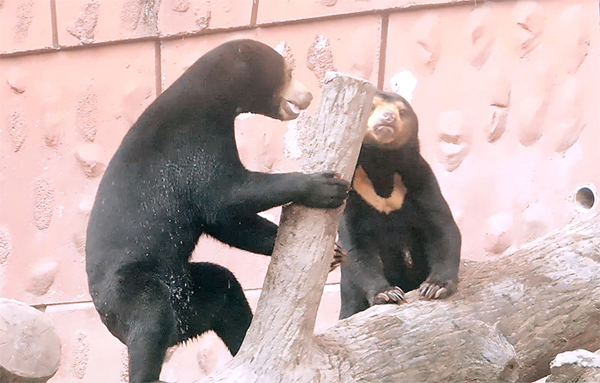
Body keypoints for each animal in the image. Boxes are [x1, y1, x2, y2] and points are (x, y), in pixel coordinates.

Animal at [83, 39, 346, 383]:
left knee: (224, 290)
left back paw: (247, 344)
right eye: (289, 72)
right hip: (129, 287)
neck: (214, 99)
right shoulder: (191, 144)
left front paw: (335, 253)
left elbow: (225, 221)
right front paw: (325, 186)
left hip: (190, 293)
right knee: (151, 319)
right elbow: (225, 195)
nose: (308, 95)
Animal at [340, 91, 462, 320]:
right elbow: (355, 245)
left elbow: (442, 227)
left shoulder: (418, 177)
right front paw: (387, 293)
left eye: (402, 111)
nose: (388, 117)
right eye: (372, 105)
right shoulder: (353, 190)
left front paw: (435, 286)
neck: (381, 163)